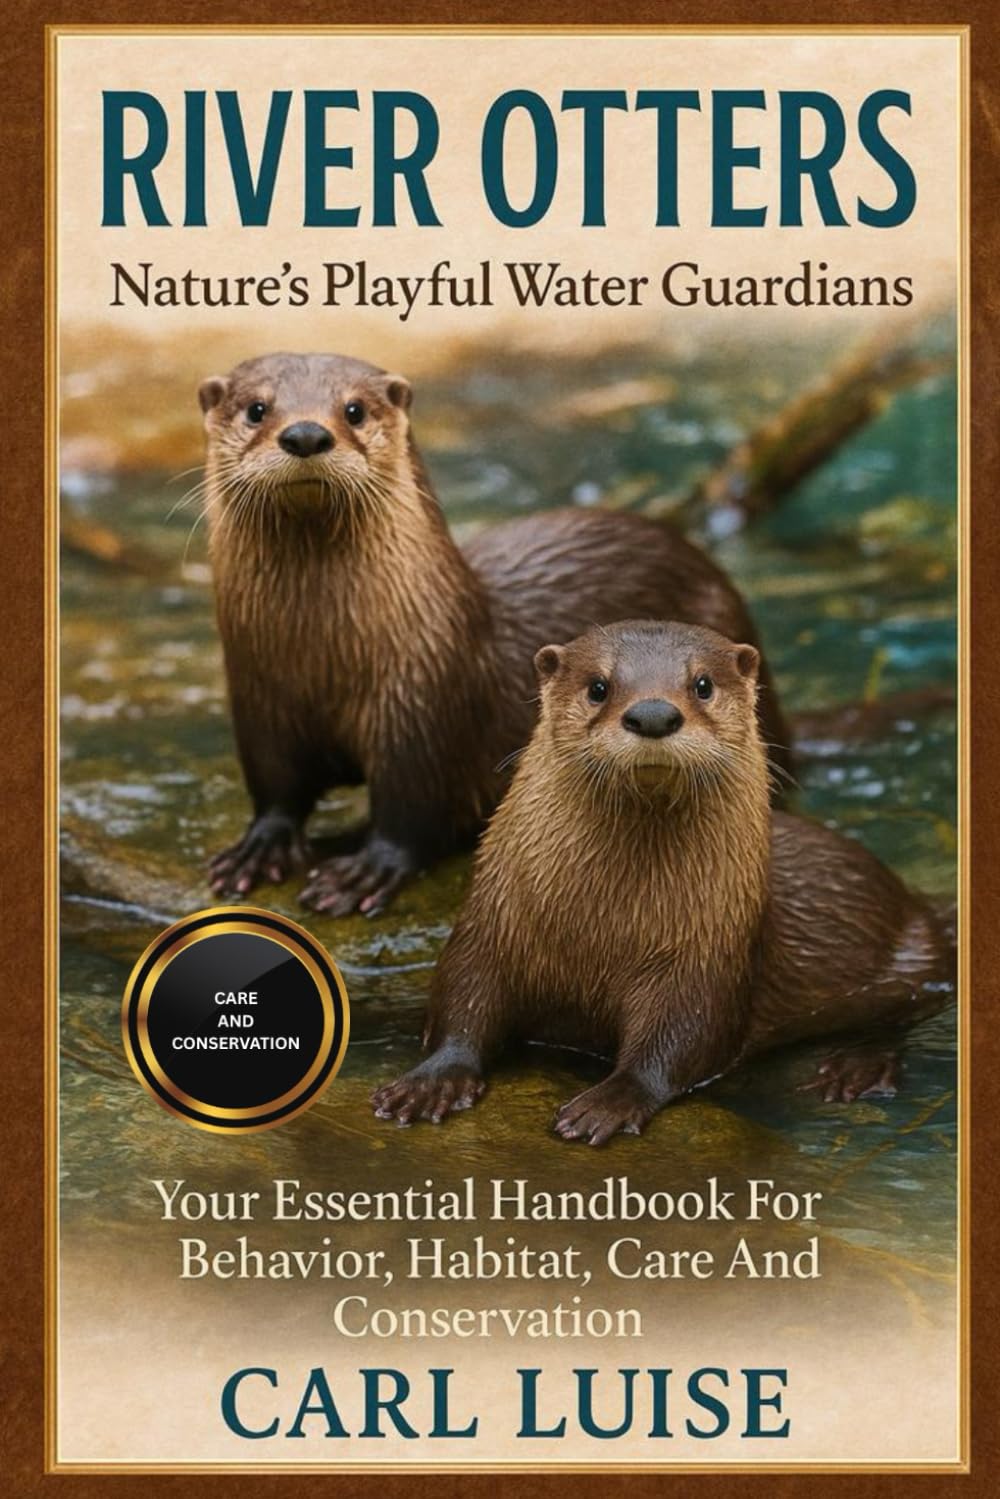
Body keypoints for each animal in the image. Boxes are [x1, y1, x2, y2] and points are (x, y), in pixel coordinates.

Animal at [201, 353, 792, 916]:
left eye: (354, 410)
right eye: (256, 409)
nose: (305, 434)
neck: (323, 660)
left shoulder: (421, 705)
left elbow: (412, 807)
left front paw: (363, 871)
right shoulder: (259, 704)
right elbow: (277, 787)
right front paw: (261, 847)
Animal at [372, 620, 954, 1143]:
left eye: (703, 684)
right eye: (598, 686)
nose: (653, 713)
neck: (601, 931)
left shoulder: (706, 963)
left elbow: (678, 1041)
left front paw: (609, 1102)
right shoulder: (491, 926)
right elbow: (461, 1001)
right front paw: (432, 1081)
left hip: (914, 961)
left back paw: (855, 1068)